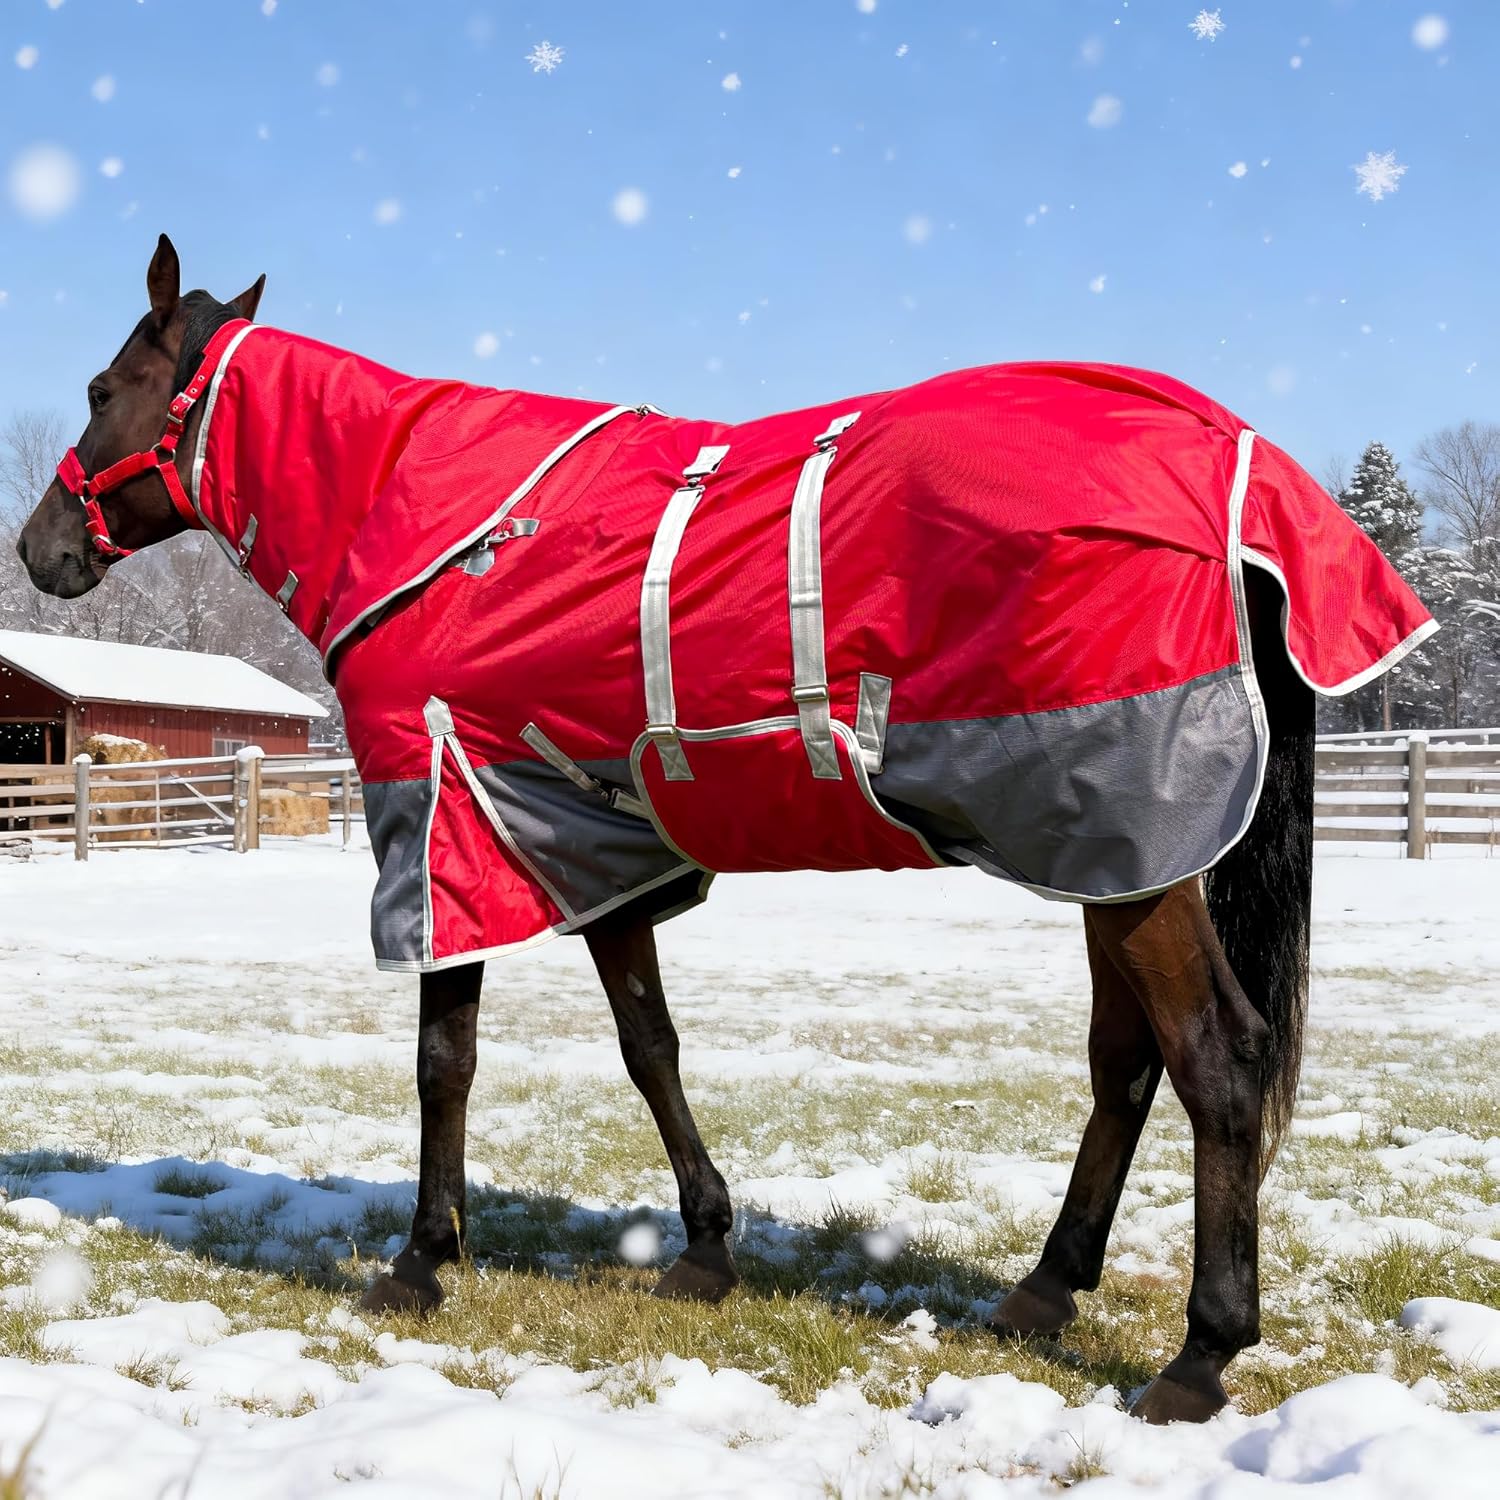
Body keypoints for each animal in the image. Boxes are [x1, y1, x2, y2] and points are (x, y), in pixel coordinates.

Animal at [16, 236, 1433, 1425]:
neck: (430, 514)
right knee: (1125, 1064)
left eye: (101, 386)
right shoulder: (578, 837)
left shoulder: (442, 815)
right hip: (1112, 849)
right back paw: (1044, 1288)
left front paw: (421, 1261)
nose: (39, 551)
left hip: (1129, 849)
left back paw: (1199, 1353)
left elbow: (442, 1060)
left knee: (1218, 1063)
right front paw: (702, 1247)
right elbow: (651, 1046)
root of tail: (1227, 456)